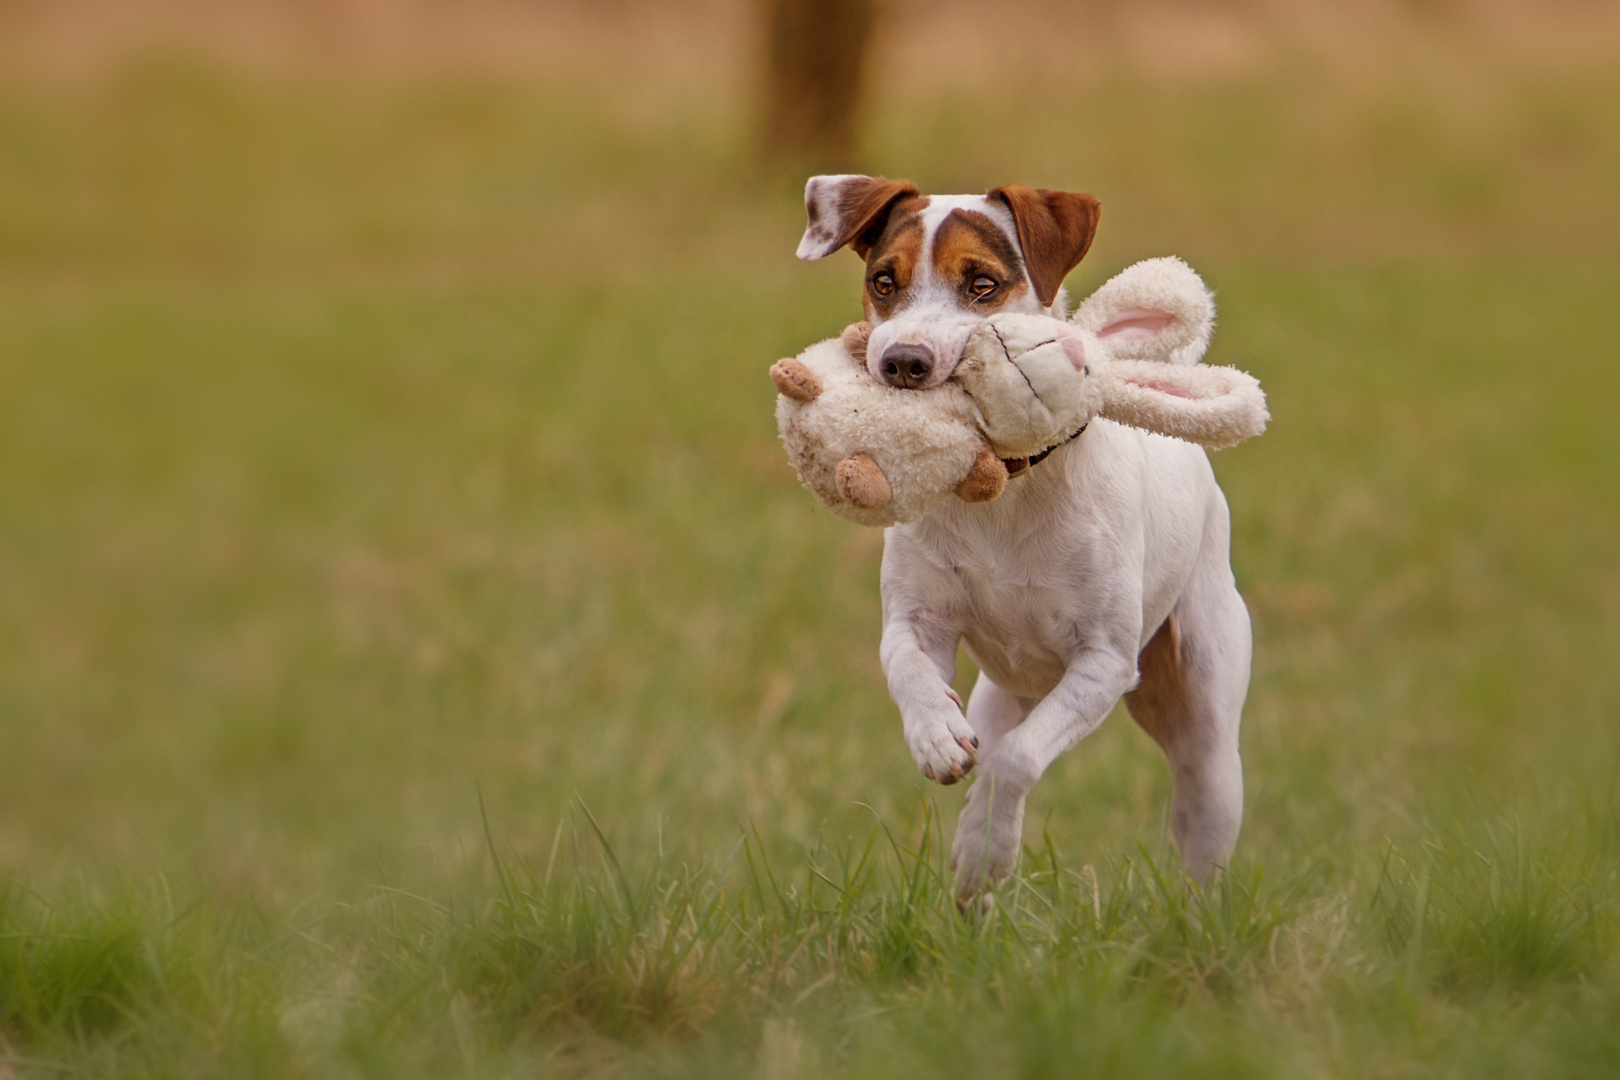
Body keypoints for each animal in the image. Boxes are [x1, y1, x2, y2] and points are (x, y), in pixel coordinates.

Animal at [797, 175, 1250, 906]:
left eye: (981, 284)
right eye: (883, 281)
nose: (901, 362)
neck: (999, 494)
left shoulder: (1102, 662)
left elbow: (1013, 760)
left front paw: (985, 846)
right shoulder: (917, 617)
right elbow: (908, 666)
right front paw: (935, 736)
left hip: (1206, 740)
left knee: (1201, 829)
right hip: (1003, 695)